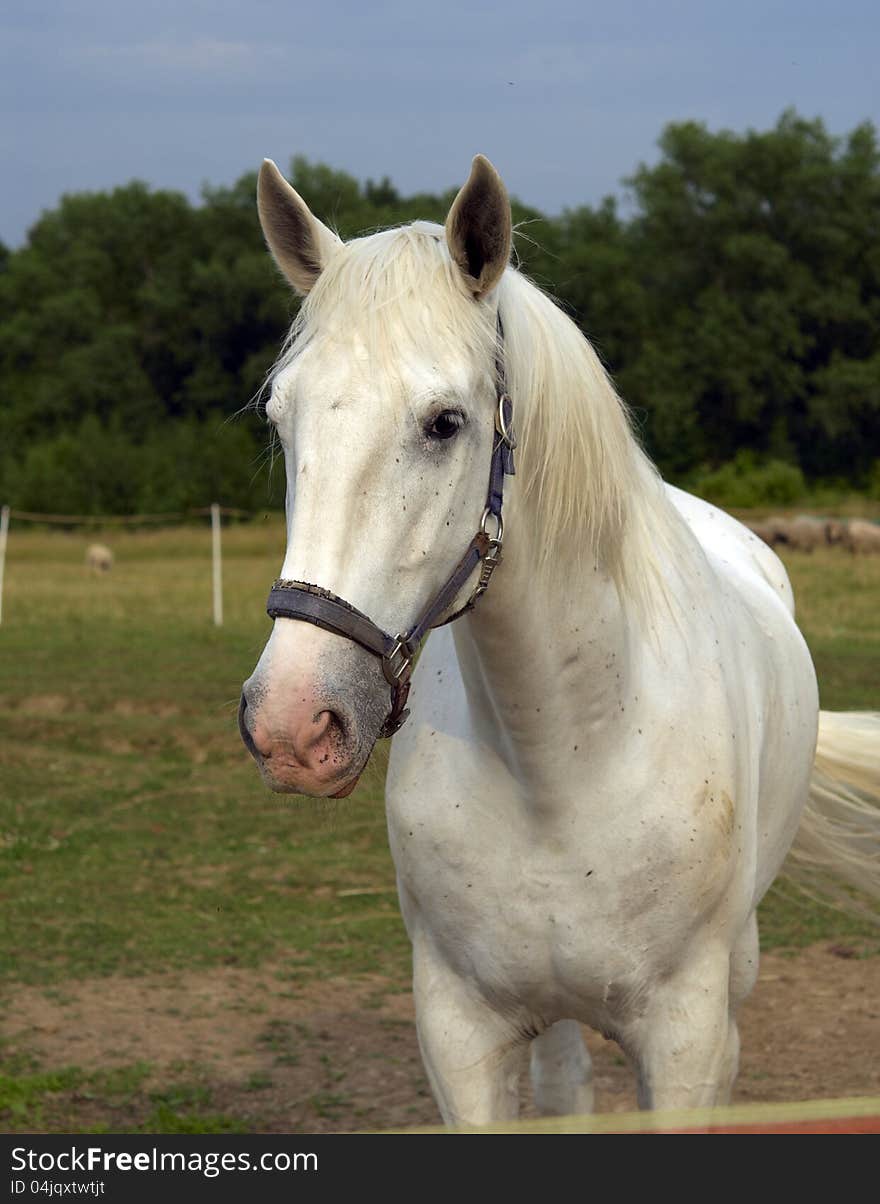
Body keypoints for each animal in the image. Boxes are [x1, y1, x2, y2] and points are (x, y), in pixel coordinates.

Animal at [240, 155, 880, 1122]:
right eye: (282, 419)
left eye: (445, 422)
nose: (291, 722)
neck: (565, 753)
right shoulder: (462, 1037)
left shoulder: (686, 1040)